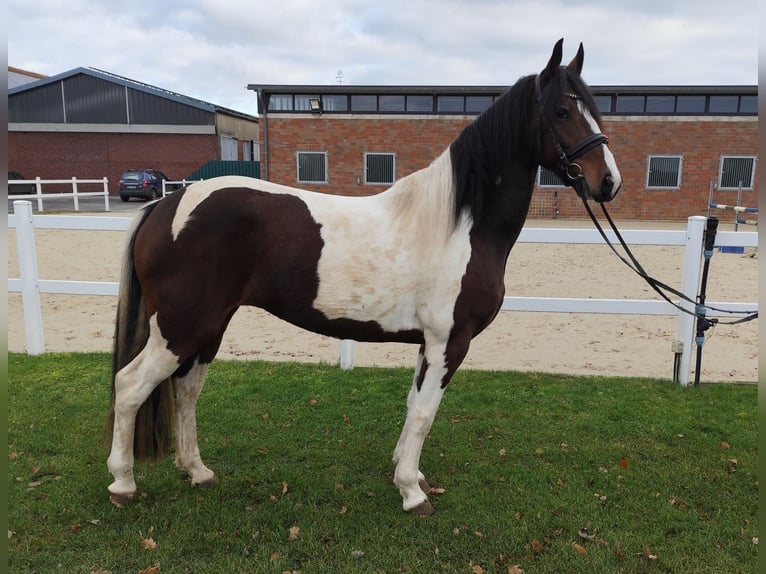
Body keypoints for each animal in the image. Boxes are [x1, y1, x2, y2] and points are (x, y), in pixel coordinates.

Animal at [106, 40, 624, 516]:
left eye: (596, 110)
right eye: (561, 111)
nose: (608, 182)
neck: (458, 224)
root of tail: (167, 205)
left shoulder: (428, 343)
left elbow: (413, 406)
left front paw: (408, 473)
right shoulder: (448, 341)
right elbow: (425, 413)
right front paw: (412, 493)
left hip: (208, 325)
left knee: (186, 389)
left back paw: (198, 471)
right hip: (179, 327)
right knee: (130, 386)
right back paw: (123, 483)